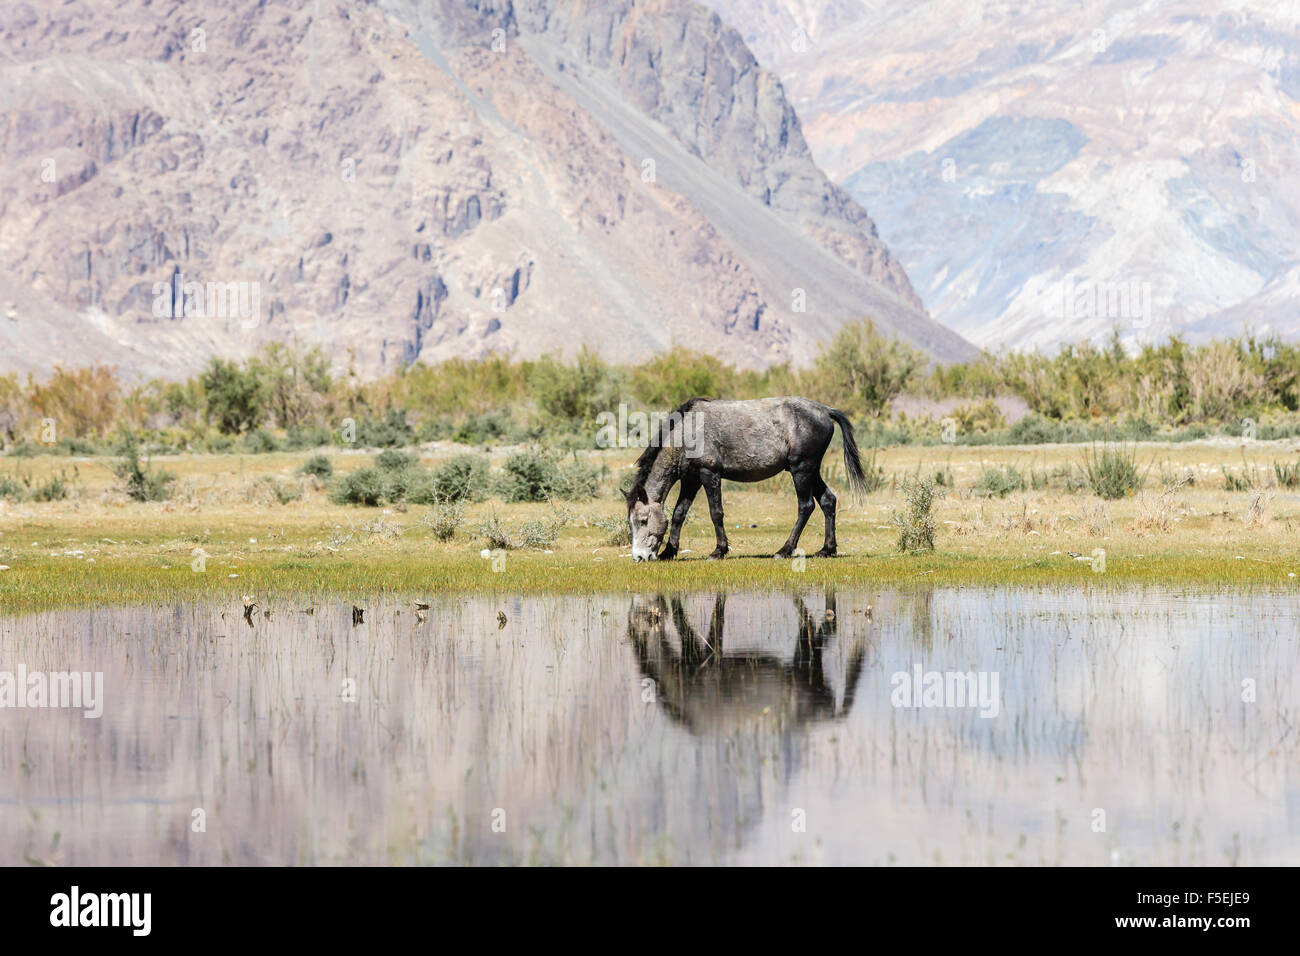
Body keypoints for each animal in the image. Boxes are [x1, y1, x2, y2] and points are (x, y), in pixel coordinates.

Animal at [626, 395, 868, 561]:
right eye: (631, 522)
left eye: (643, 520)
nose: (639, 557)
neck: (687, 432)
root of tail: (825, 411)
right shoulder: (691, 479)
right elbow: (678, 514)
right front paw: (669, 551)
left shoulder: (709, 474)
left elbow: (716, 513)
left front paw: (718, 551)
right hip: (811, 471)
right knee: (828, 501)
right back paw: (826, 549)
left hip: (802, 471)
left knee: (806, 506)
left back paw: (784, 550)